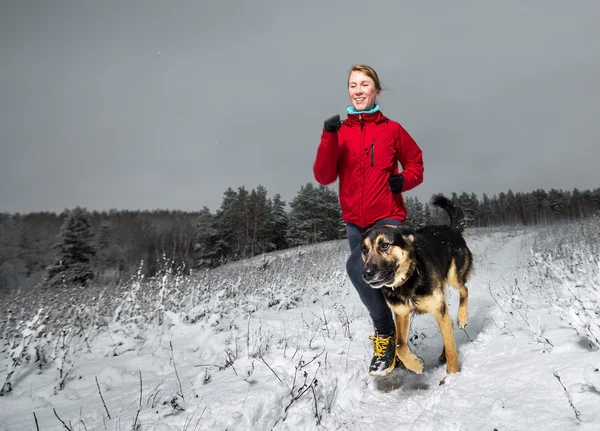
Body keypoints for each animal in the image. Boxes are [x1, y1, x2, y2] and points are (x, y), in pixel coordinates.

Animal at [360, 195, 474, 378]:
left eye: (384, 245)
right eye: (364, 250)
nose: (366, 274)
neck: (408, 280)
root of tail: (452, 229)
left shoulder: (438, 308)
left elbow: (451, 346)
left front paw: (452, 374)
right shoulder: (401, 314)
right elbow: (399, 346)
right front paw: (415, 364)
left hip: (454, 277)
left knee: (464, 290)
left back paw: (462, 317)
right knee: (449, 323)